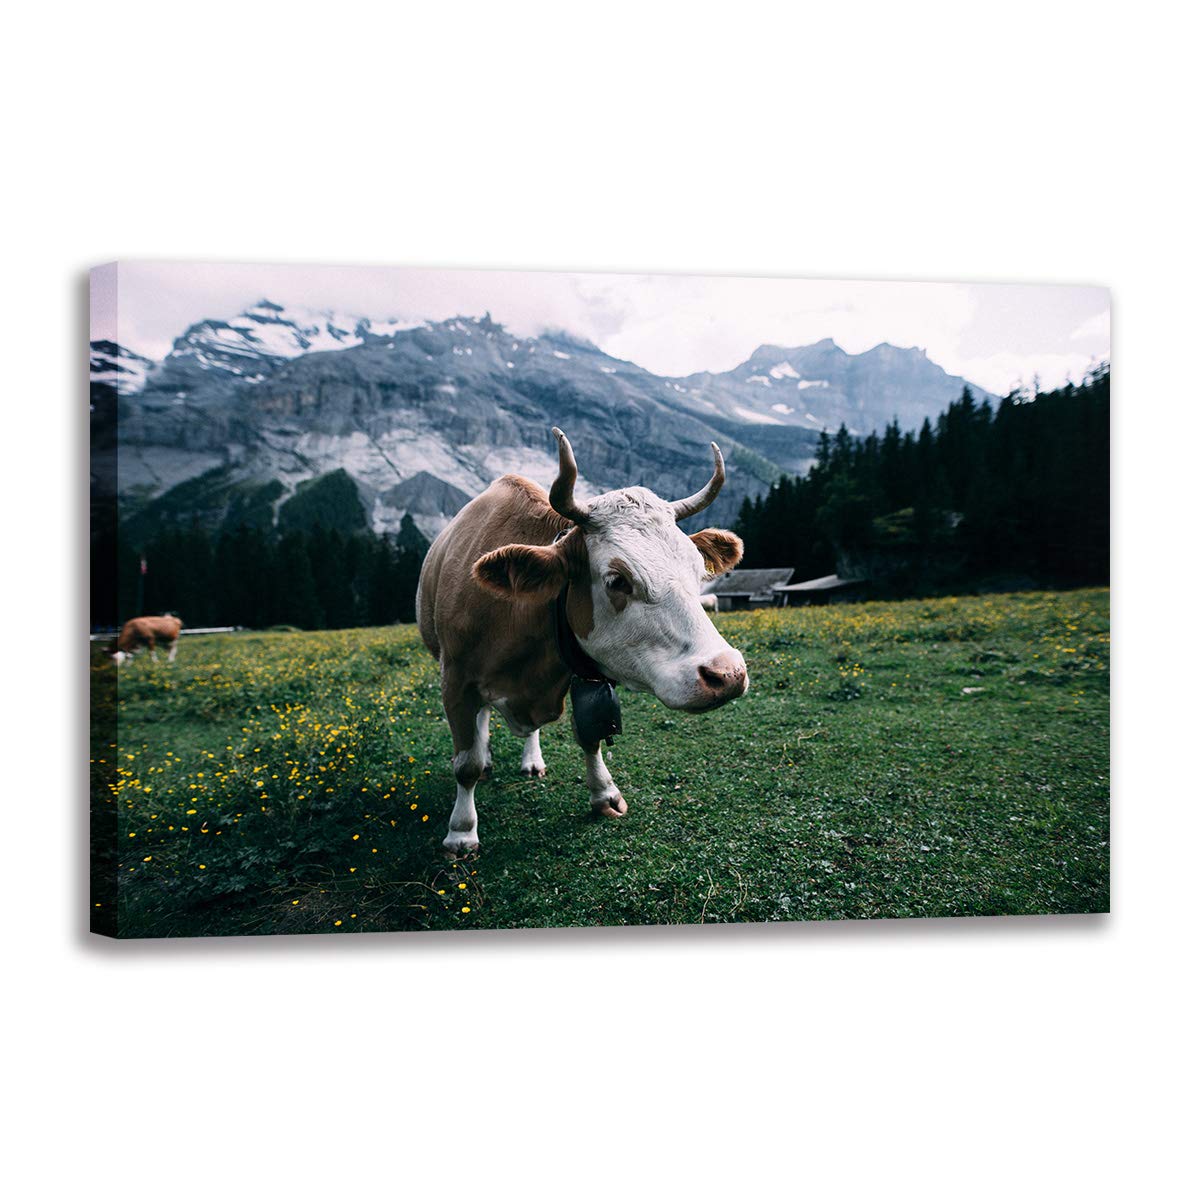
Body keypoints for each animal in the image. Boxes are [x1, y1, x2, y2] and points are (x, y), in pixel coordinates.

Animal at [417, 428, 748, 855]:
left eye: (697, 569)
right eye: (617, 580)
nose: (727, 674)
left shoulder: (582, 673)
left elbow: (590, 736)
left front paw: (604, 794)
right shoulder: (455, 681)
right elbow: (466, 763)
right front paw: (461, 831)